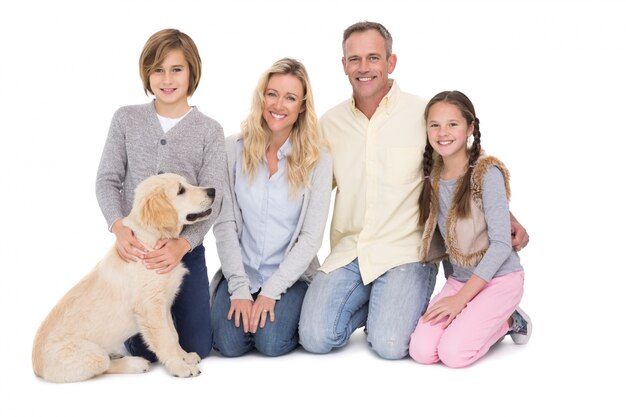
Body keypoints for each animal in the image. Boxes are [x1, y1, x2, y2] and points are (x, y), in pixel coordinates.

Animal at [32, 172, 217, 380]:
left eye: (187, 183)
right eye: (180, 190)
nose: (213, 191)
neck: (151, 239)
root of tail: (36, 367)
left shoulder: (164, 305)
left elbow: (173, 334)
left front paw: (184, 356)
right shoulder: (150, 308)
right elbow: (166, 339)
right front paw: (180, 366)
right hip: (91, 354)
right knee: (104, 365)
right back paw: (134, 364)